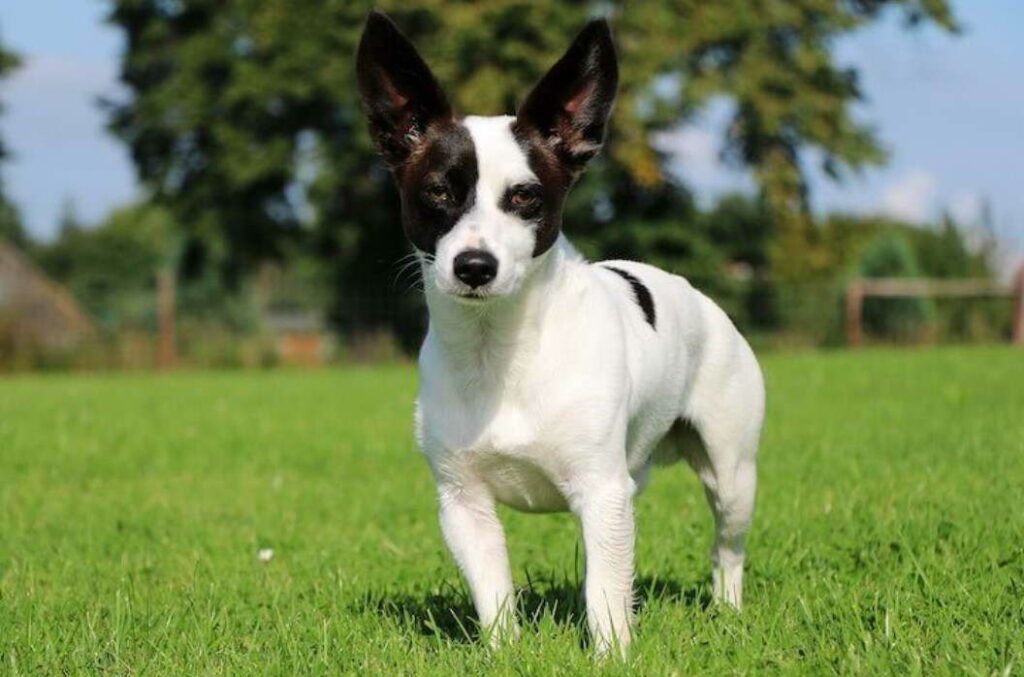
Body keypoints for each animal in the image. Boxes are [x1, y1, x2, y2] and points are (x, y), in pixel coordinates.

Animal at [356, 10, 765, 655]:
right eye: (438, 192)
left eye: (526, 197)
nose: (475, 266)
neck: (500, 354)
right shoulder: (463, 504)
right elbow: (495, 595)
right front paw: (504, 653)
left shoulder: (601, 494)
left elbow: (604, 594)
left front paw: (611, 655)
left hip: (732, 474)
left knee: (727, 550)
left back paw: (727, 610)